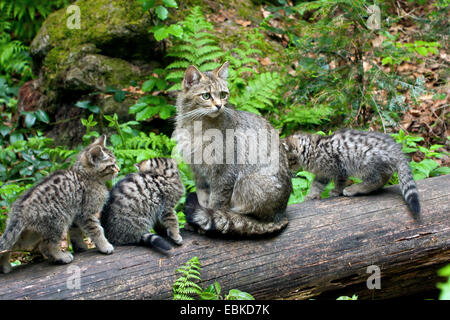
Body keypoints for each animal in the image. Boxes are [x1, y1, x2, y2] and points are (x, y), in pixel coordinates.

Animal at [0, 135, 118, 272]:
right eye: (111, 165)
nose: (118, 169)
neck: (83, 174)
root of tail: (19, 210)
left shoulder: (75, 215)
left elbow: (75, 233)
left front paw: (81, 247)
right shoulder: (87, 213)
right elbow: (97, 230)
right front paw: (105, 246)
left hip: (29, 233)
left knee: (10, 246)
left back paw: (5, 265)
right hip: (57, 221)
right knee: (46, 245)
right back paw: (61, 256)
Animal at [174, 61, 294, 236]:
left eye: (223, 94)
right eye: (206, 96)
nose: (219, 105)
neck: (197, 128)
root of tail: (280, 215)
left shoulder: (224, 174)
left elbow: (215, 204)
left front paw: (206, 224)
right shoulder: (199, 175)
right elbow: (203, 200)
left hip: (247, 181)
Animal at [284, 129, 420, 215]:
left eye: (287, 162)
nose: (288, 172)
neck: (311, 149)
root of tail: (396, 150)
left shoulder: (339, 168)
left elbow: (339, 182)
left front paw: (336, 191)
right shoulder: (323, 173)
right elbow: (316, 185)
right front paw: (311, 195)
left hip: (365, 161)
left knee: (375, 180)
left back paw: (354, 189)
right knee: (383, 178)